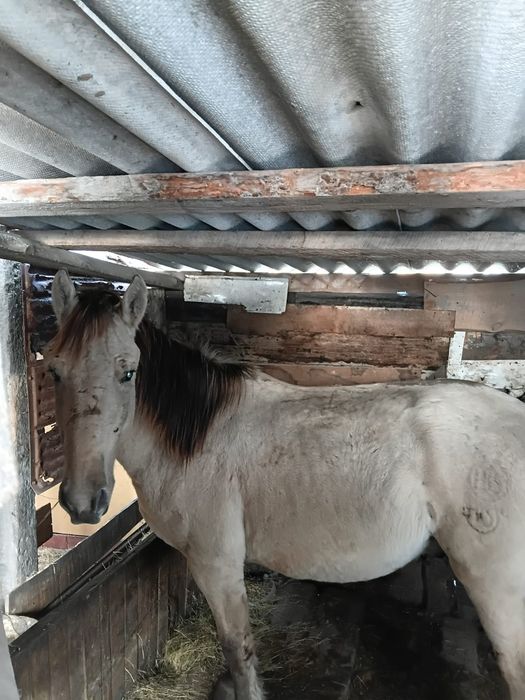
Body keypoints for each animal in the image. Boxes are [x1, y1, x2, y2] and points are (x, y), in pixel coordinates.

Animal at [46, 269, 525, 700]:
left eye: (128, 373)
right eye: (54, 371)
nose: (83, 502)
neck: (197, 438)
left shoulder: (216, 563)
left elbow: (237, 647)